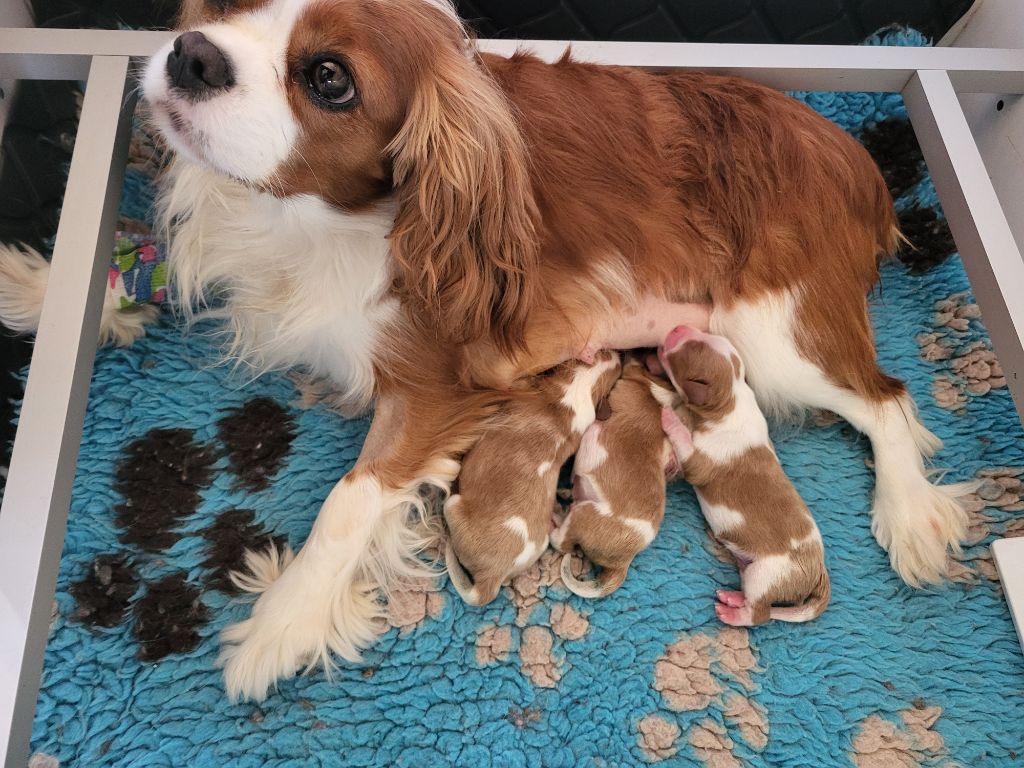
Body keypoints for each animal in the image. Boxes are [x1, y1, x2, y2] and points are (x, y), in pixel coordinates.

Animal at [655, 325, 831, 626]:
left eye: (691, 351)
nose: (678, 327)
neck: (732, 398)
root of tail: (817, 571)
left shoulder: (700, 463)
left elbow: (685, 445)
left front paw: (671, 419)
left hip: (766, 574)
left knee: (760, 614)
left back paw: (733, 614)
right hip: (753, 572)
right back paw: (734, 598)